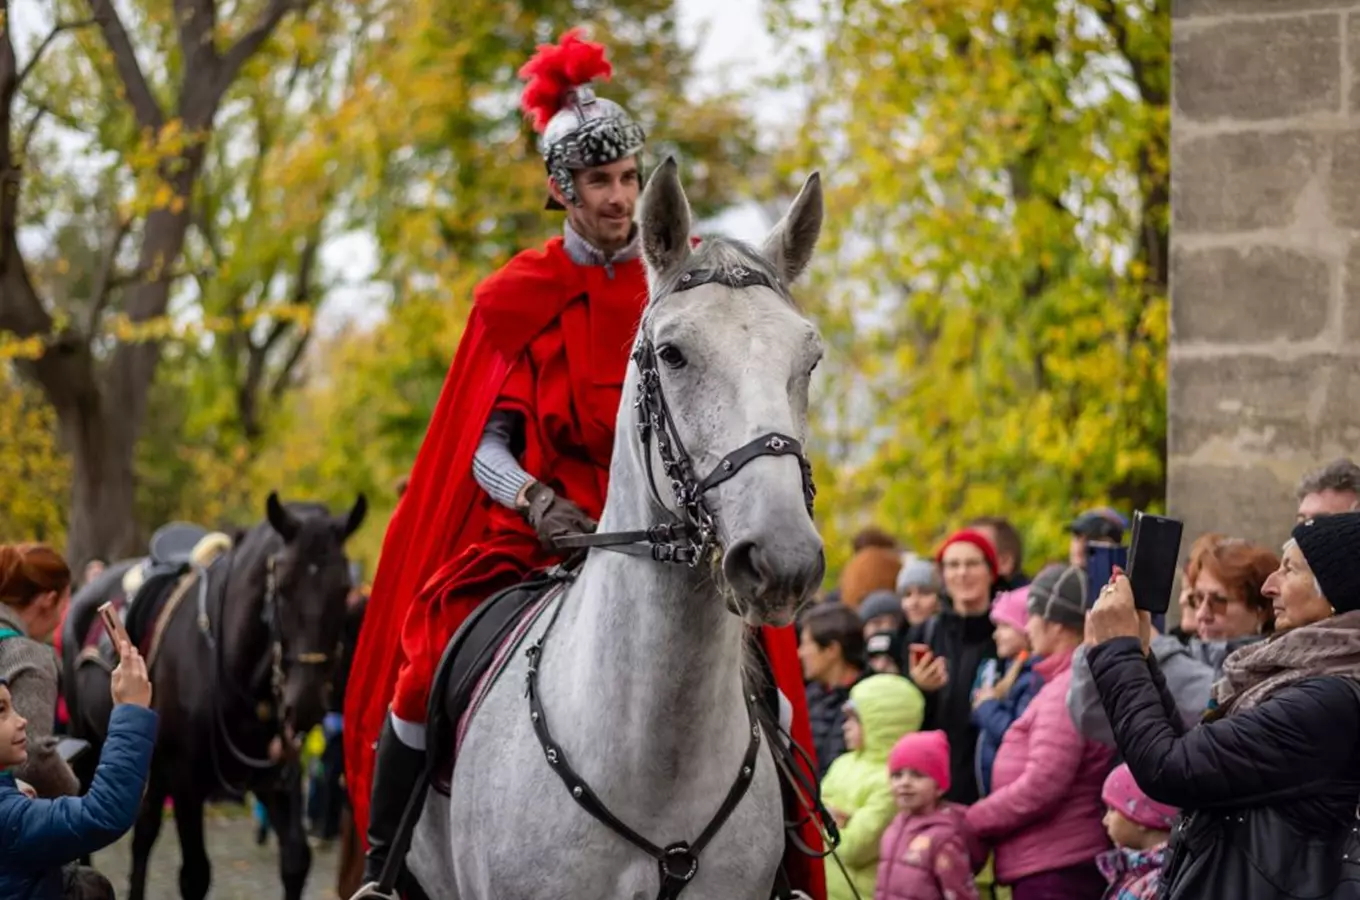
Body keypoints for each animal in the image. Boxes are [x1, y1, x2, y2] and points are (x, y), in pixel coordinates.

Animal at [62, 494, 367, 900]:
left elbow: (296, 861)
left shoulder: (279, 778)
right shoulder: (187, 782)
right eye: (282, 587)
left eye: (343, 590)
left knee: (144, 834)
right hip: (89, 744)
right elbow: (195, 875)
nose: (305, 703)